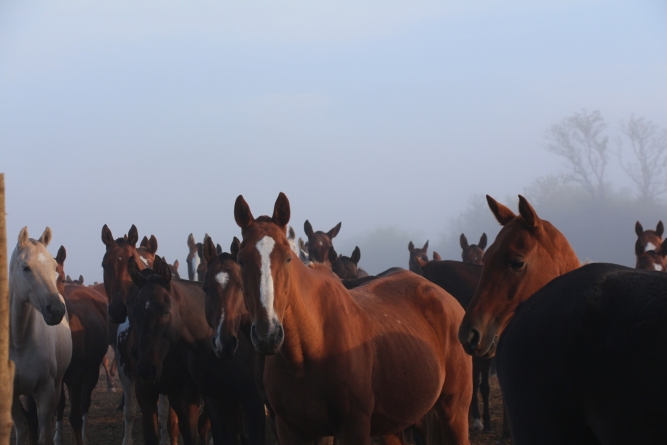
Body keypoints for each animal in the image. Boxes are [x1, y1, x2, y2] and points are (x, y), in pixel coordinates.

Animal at [9, 227, 72, 444]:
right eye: (26, 268)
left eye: (53, 266)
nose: (56, 310)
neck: (19, 342)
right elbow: (21, 427)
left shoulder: (46, 393)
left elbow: (43, 433)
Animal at [52, 245, 109, 442]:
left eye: (61, 278)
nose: (55, 312)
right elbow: (59, 406)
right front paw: (58, 438)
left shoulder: (76, 377)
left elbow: (75, 416)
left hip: (91, 371)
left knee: (85, 403)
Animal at [232, 193, 472, 444]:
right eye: (240, 260)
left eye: (288, 258)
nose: (267, 335)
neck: (308, 349)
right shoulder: (291, 430)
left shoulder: (353, 427)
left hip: (454, 411)